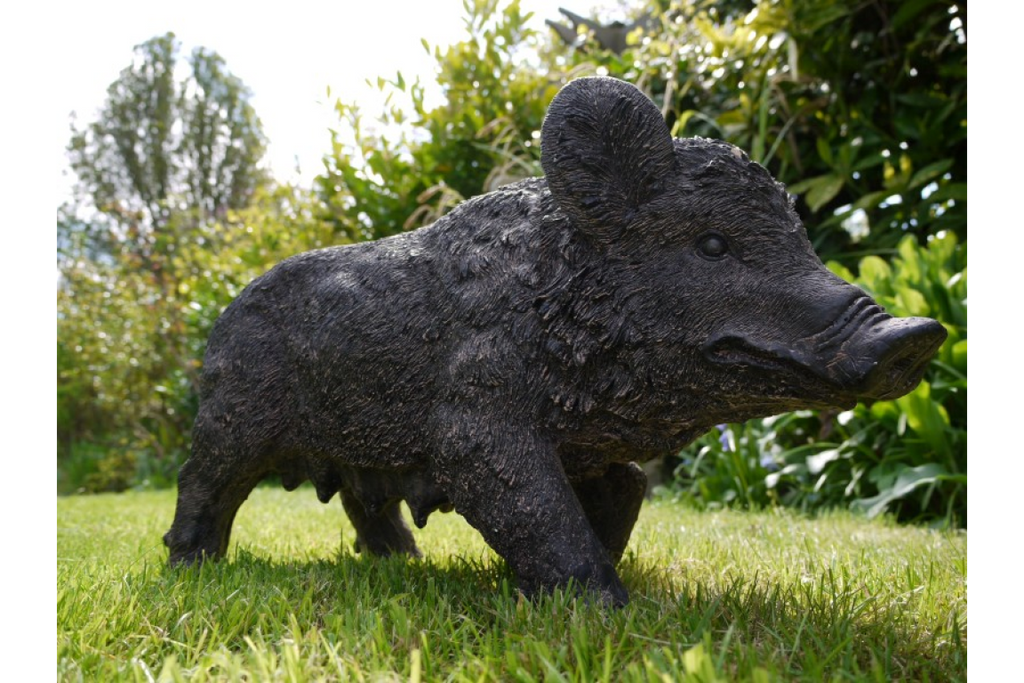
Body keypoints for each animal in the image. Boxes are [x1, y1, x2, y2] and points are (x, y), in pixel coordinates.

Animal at [164, 77, 946, 605]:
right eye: (712, 244)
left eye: (797, 233)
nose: (914, 333)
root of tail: (223, 315)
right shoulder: (475, 420)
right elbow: (534, 505)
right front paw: (602, 611)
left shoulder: (596, 453)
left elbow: (625, 495)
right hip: (231, 415)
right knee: (204, 483)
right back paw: (190, 570)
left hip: (354, 446)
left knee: (366, 503)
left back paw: (403, 564)